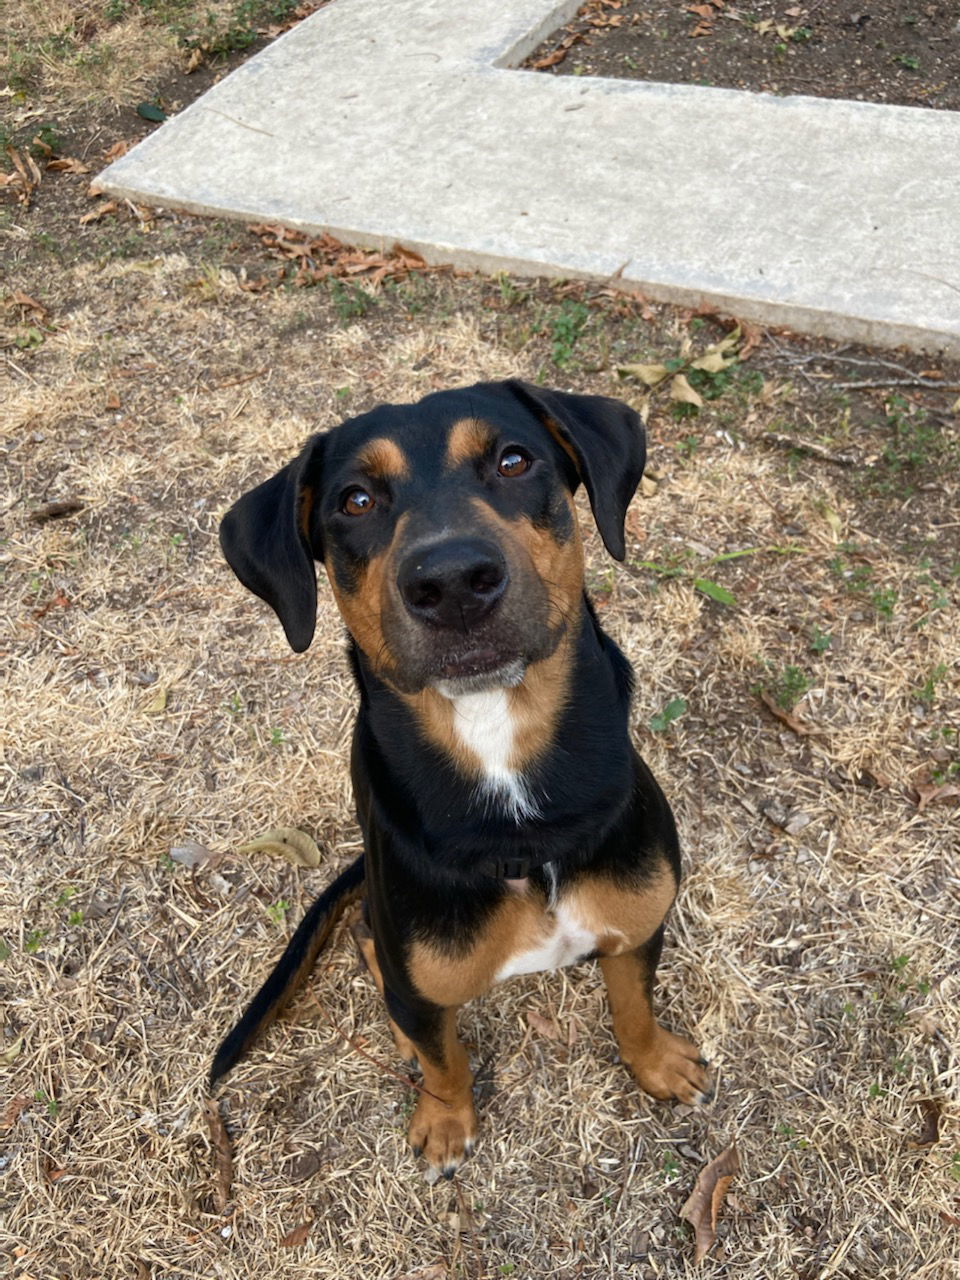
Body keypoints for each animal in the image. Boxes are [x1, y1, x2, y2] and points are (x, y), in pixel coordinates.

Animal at [213, 376, 711, 1172]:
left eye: (513, 460)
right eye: (355, 500)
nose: (451, 582)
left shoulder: (638, 925)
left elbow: (634, 1004)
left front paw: (657, 1063)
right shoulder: (420, 982)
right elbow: (444, 1057)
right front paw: (446, 1119)